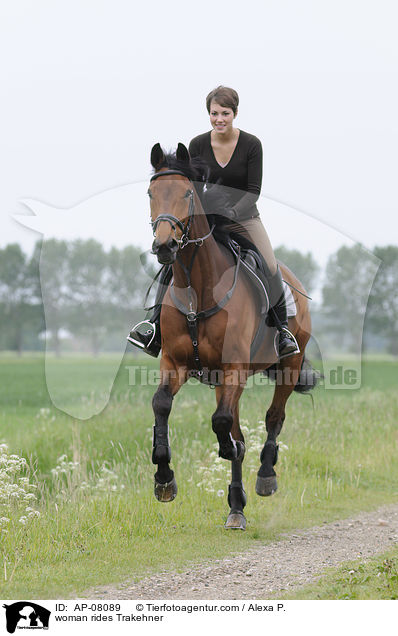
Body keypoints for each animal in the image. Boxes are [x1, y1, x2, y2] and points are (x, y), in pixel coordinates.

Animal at [146, 142, 318, 528]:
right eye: (151, 193)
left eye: (187, 193)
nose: (165, 246)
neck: (199, 289)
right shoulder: (175, 363)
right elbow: (162, 404)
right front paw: (164, 479)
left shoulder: (233, 368)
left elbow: (223, 424)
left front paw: (231, 451)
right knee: (237, 424)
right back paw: (236, 507)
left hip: (289, 365)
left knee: (273, 417)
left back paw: (265, 476)